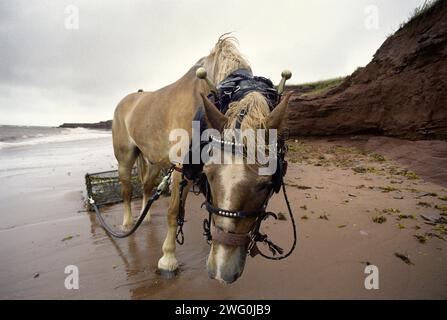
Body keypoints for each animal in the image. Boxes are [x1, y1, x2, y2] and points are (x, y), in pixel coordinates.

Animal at [114, 36, 292, 284]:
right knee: (127, 190)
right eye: (208, 175)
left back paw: (145, 216)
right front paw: (167, 259)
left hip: (155, 159)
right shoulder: (180, 169)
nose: (221, 272)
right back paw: (128, 223)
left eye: (266, 184)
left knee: (147, 185)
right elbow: (173, 212)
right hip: (124, 157)